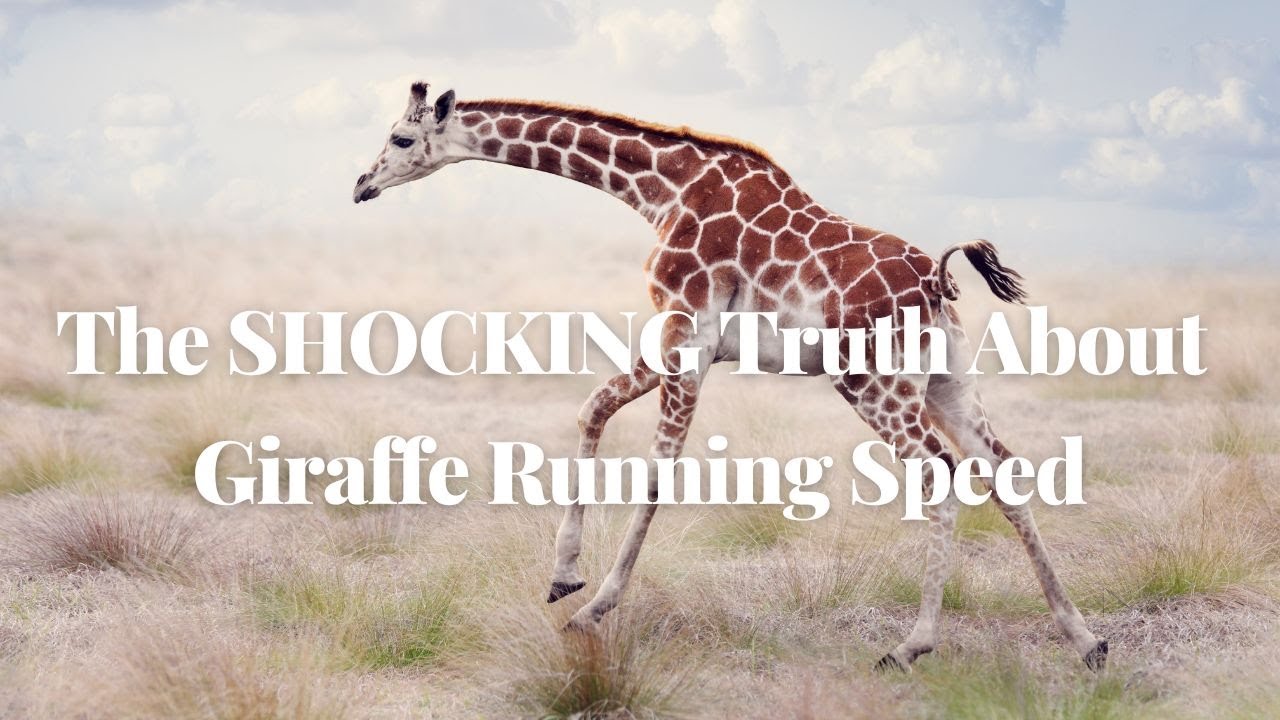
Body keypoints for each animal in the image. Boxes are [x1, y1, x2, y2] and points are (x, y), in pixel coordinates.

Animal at [353, 82, 1109, 672]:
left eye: (399, 136)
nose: (361, 185)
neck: (659, 189)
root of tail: (936, 278)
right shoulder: (683, 340)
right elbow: (593, 410)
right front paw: (564, 576)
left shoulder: (687, 333)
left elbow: (657, 472)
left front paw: (594, 610)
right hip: (949, 381)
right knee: (1002, 471)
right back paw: (1085, 639)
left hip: (869, 379)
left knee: (938, 473)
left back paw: (911, 646)